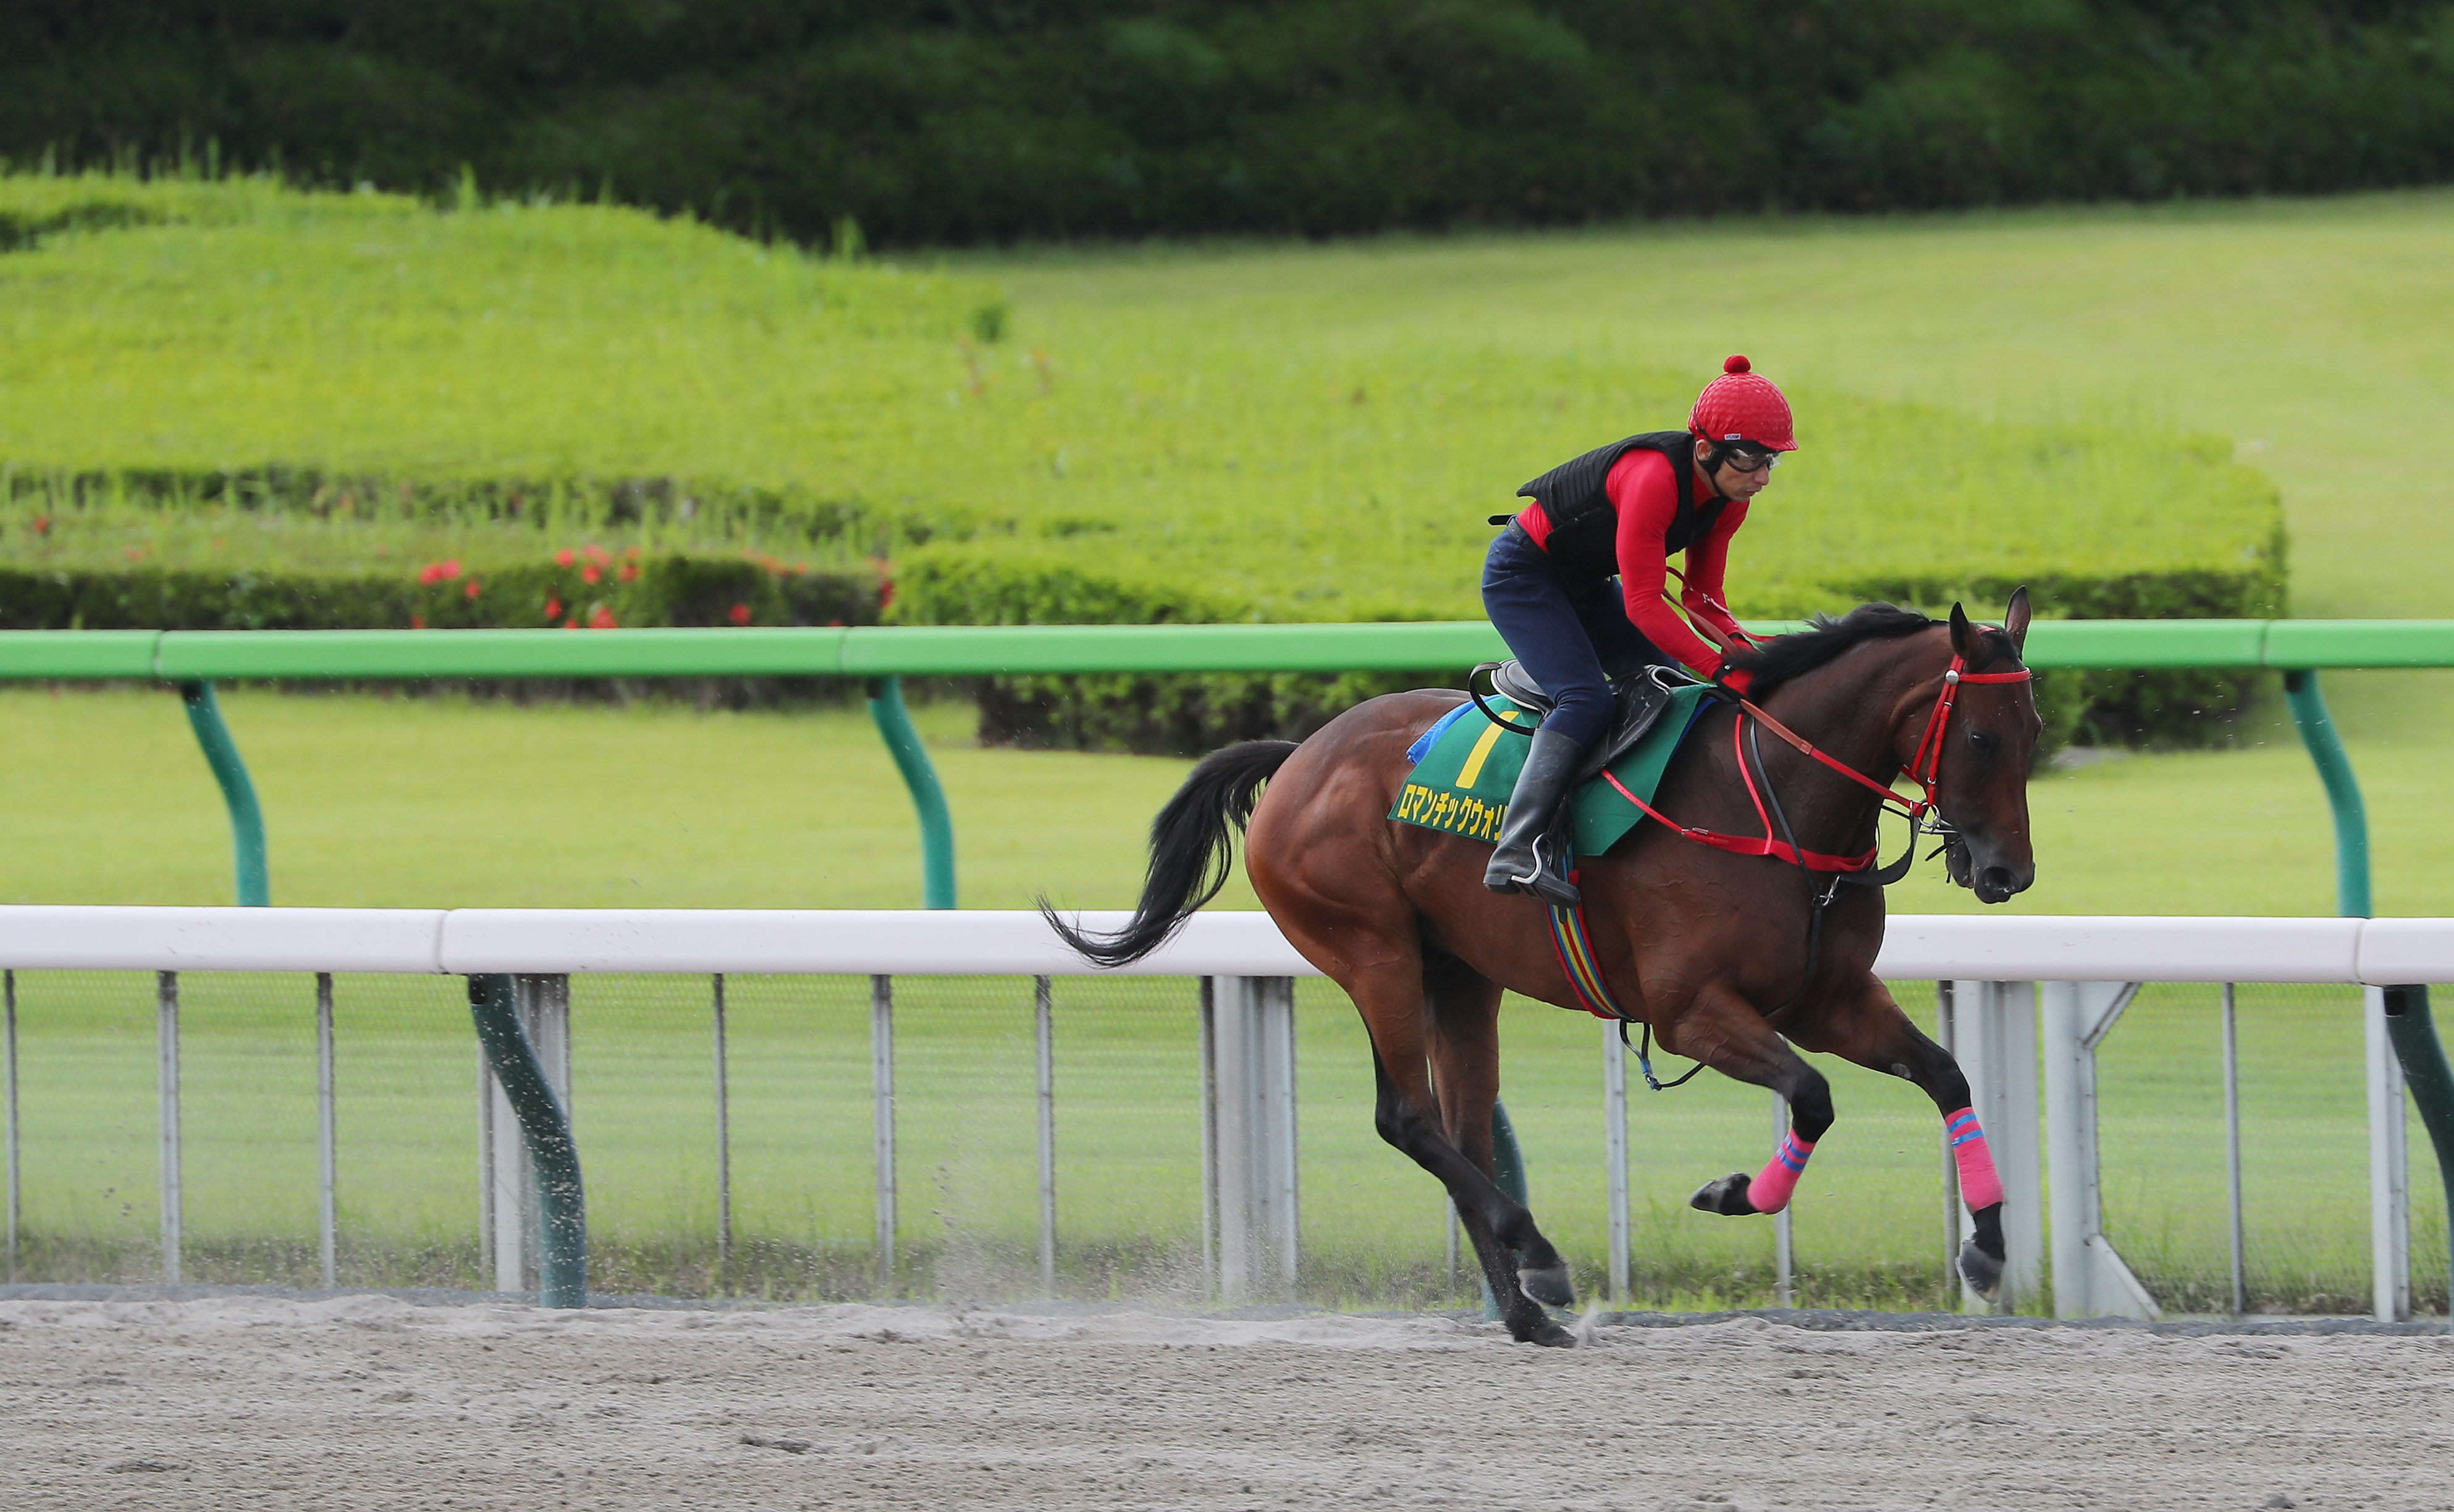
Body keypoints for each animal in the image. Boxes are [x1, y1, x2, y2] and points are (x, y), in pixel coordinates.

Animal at [1050, 594, 2031, 1345]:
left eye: (2035, 729)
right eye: (1982, 739)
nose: (2007, 874)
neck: (1774, 803)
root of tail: (1298, 759)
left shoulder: (1829, 997)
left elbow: (1944, 1074)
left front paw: (1985, 1248)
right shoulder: (1692, 1012)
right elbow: (1815, 1096)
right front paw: (1733, 1193)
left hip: (1458, 973)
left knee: (1465, 1131)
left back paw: (1527, 1312)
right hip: (1372, 950)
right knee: (1410, 1120)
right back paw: (1541, 1259)